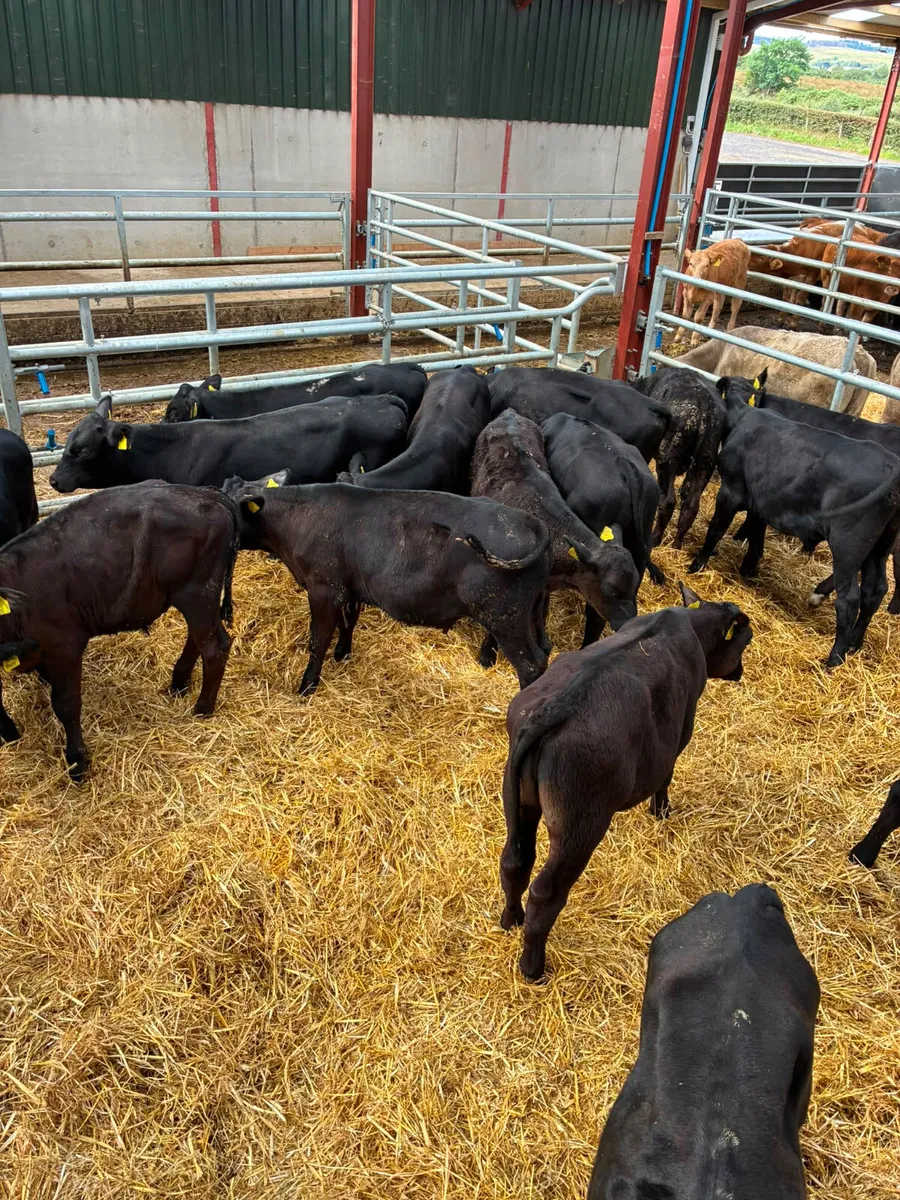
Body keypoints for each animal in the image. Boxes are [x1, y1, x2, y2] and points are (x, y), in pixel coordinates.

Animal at [0, 482, 239, 779]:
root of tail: (207, 494)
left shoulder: (65, 645)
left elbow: (66, 703)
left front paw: (78, 761)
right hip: (195, 597)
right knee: (198, 639)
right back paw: (179, 683)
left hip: (197, 593)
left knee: (214, 648)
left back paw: (202, 708)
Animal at [222, 474, 552, 694]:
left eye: (232, 509)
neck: (299, 518)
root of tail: (529, 521)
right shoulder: (350, 589)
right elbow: (348, 623)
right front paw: (342, 653)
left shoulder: (324, 590)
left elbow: (318, 639)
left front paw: (307, 685)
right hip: (527, 611)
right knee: (543, 649)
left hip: (506, 617)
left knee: (531, 663)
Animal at [499, 584, 752, 982]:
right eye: (744, 642)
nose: (740, 671)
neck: (689, 625)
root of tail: (554, 709)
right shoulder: (682, 728)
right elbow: (667, 773)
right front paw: (661, 810)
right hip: (580, 825)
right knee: (546, 891)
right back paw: (533, 967)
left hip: (517, 800)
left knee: (514, 862)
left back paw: (511, 919)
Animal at [630, 367, 725, 546]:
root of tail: (705, 404)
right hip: (705, 463)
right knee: (690, 507)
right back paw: (676, 545)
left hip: (667, 462)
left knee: (668, 501)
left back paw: (655, 538)